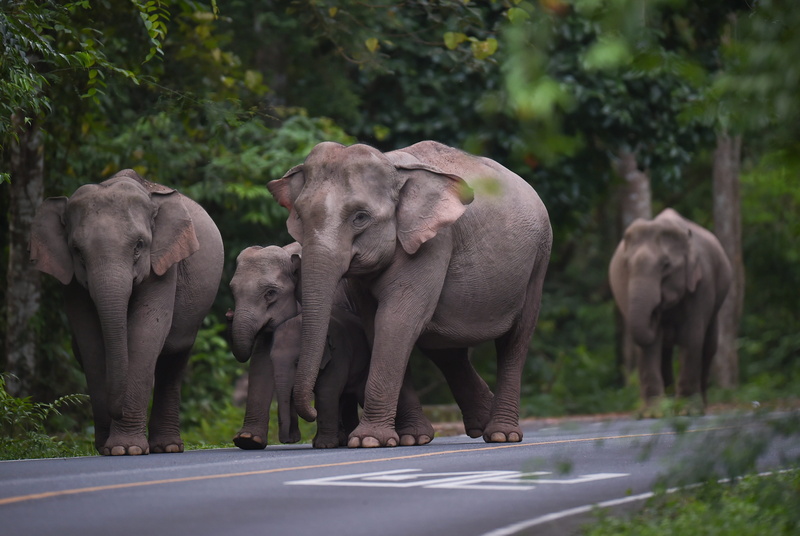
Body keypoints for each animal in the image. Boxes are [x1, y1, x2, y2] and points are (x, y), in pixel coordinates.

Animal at [29, 169, 224, 455]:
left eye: (139, 245)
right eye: (77, 251)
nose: (116, 413)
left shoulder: (164, 266)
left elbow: (146, 332)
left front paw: (126, 449)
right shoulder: (72, 280)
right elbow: (89, 338)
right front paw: (110, 448)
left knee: (174, 360)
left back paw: (168, 447)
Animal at [267, 140, 552, 448]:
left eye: (360, 217)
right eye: (300, 216)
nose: (311, 413)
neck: (392, 166)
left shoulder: (434, 243)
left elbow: (396, 321)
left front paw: (368, 440)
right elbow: (377, 325)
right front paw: (412, 438)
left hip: (538, 260)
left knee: (515, 339)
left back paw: (502, 434)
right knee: (446, 350)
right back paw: (481, 423)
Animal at [609, 208, 732, 416]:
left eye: (666, 265)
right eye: (627, 265)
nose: (656, 311)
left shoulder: (702, 285)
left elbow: (692, 338)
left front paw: (688, 411)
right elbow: (650, 346)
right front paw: (652, 413)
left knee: (709, 346)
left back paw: (702, 405)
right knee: (664, 352)